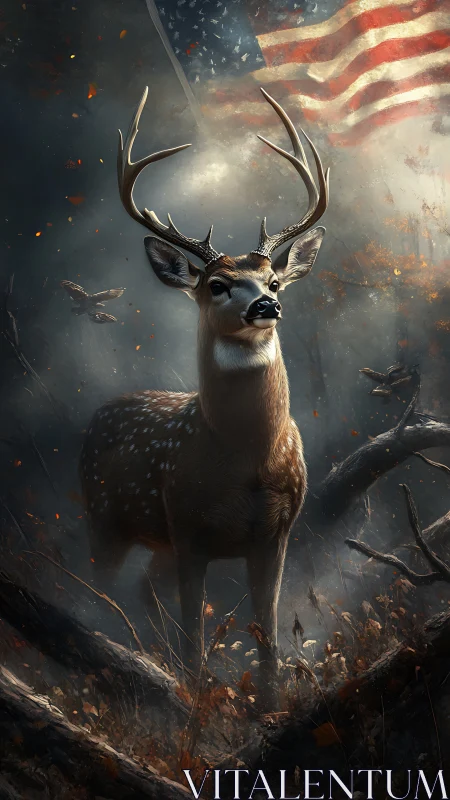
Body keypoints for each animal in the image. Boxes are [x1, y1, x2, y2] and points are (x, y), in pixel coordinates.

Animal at [80, 86, 329, 709]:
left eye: (274, 280)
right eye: (217, 284)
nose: (266, 305)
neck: (247, 462)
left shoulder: (277, 532)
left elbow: (266, 628)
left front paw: (267, 707)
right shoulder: (187, 526)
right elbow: (194, 626)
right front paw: (195, 705)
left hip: (154, 542)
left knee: (143, 590)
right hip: (104, 518)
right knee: (100, 591)